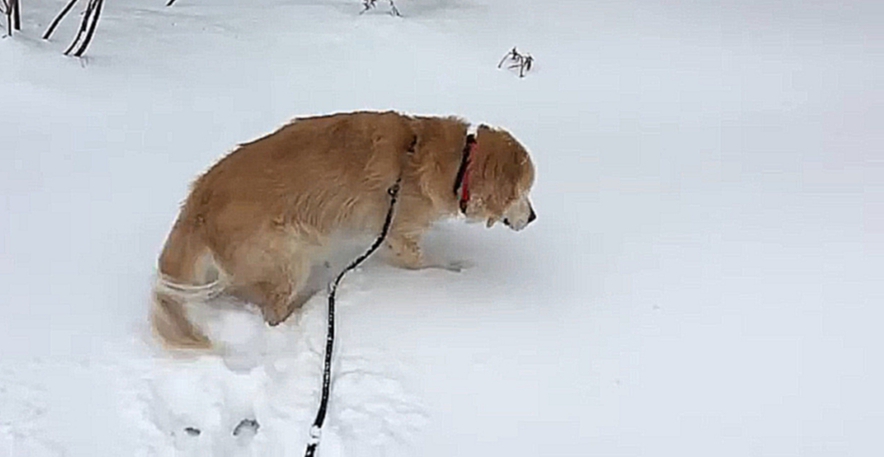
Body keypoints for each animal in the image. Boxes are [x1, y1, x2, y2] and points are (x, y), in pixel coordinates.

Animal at [151, 111, 536, 350]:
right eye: (523, 192)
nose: (532, 217)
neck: (457, 163)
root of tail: (199, 202)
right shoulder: (400, 233)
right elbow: (424, 263)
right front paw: (453, 270)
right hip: (291, 251)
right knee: (273, 313)